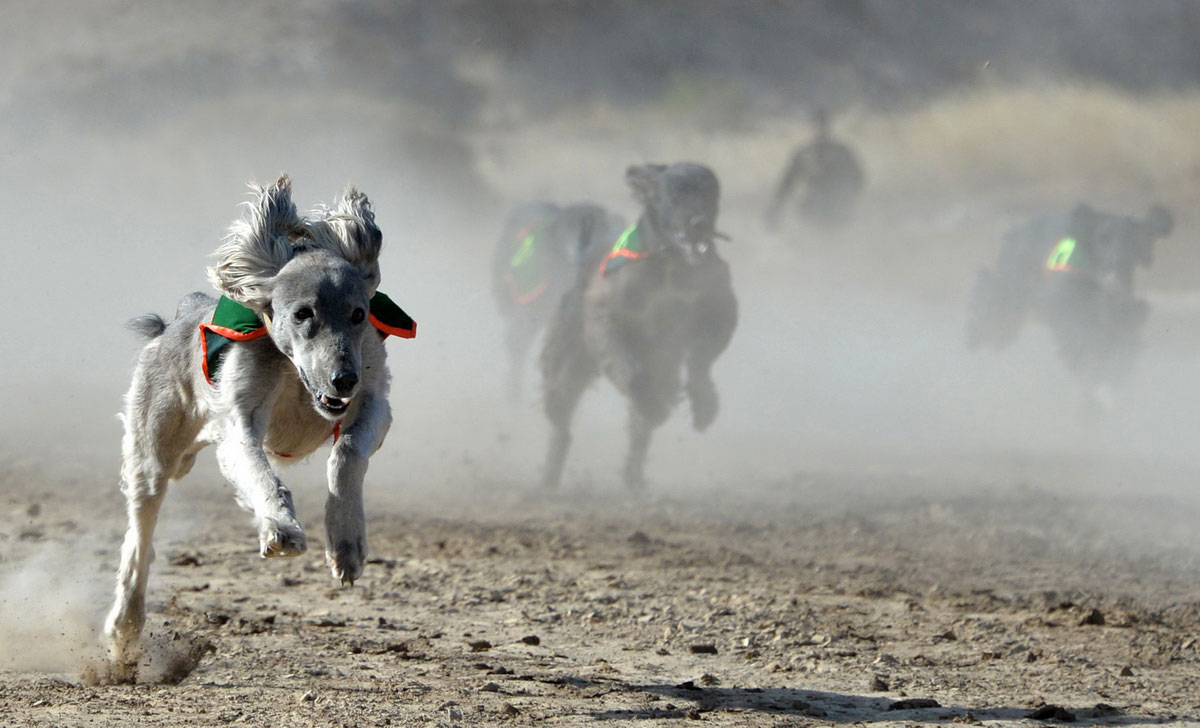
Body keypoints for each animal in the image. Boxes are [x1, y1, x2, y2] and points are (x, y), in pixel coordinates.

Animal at [108, 176, 417, 676]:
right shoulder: (240, 421)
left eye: (358, 314)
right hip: (153, 455)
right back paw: (124, 631)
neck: (295, 374)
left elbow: (348, 451)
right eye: (303, 313)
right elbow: (260, 472)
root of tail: (176, 318)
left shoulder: (374, 399)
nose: (342, 379)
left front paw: (346, 543)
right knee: (139, 541)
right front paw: (281, 528)